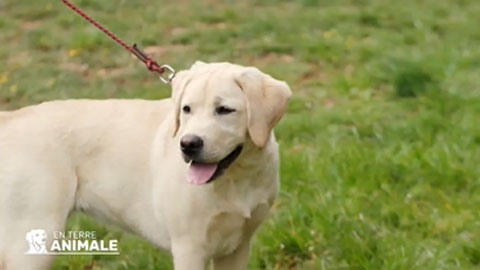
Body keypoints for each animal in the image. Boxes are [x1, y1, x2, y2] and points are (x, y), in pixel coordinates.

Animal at [0, 61, 288, 270]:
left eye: (225, 110)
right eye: (186, 109)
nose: (188, 144)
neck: (236, 179)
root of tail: (10, 118)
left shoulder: (237, 247)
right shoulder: (189, 248)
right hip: (33, 239)